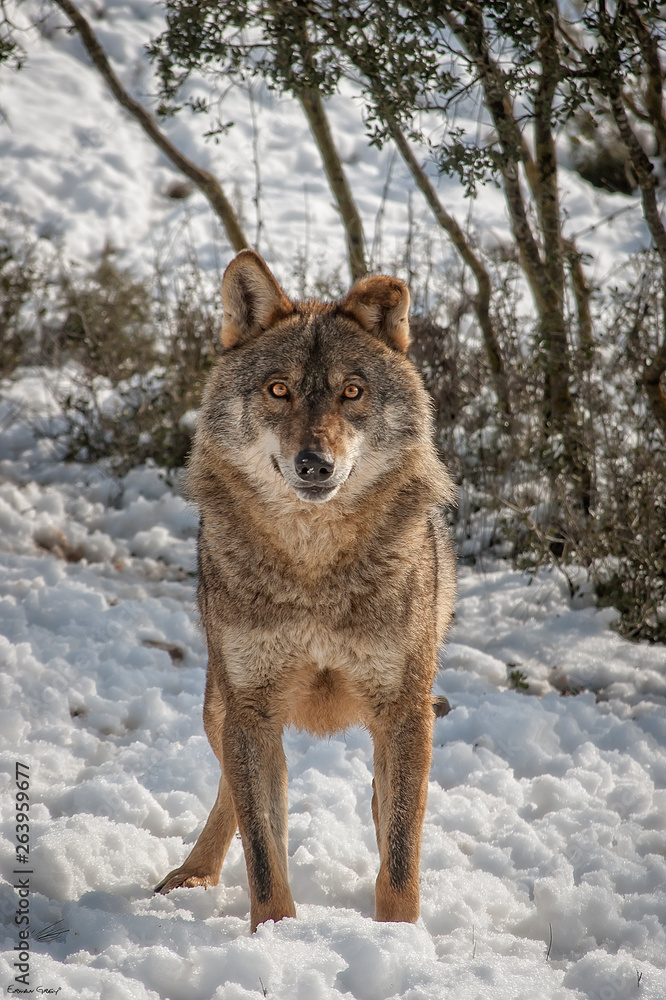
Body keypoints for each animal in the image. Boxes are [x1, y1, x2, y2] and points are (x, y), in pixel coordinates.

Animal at [155, 249, 456, 931]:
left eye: (352, 391)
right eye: (279, 390)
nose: (314, 464)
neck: (314, 567)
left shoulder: (404, 712)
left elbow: (401, 859)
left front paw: (398, 939)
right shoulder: (250, 711)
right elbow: (265, 854)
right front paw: (277, 936)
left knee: (382, 812)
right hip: (221, 708)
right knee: (236, 795)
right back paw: (193, 873)